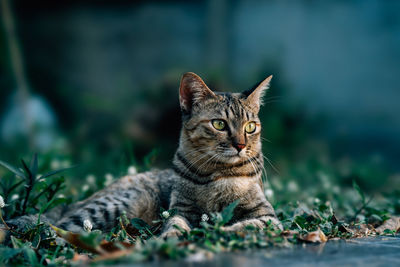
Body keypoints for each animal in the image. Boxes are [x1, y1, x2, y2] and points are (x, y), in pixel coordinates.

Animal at [6, 73, 282, 239]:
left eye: (250, 127)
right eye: (219, 124)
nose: (240, 145)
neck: (216, 175)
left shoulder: (267, 216)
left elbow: (248, 225)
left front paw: (221, 231)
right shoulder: (181, 211)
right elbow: (175, 224)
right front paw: (170, 238)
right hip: (113, 206)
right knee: (58, 225)